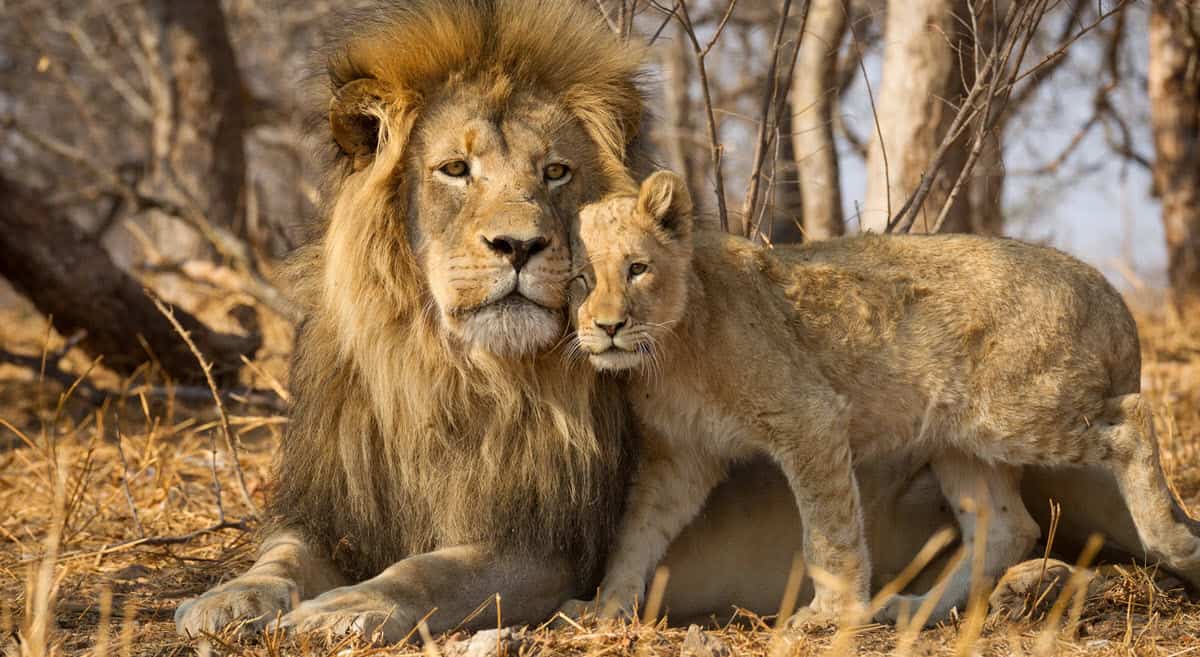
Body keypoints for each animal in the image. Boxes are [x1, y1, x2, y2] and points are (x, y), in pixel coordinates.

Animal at [562, 171, 1200, 627]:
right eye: (579, 280)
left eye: (637, 268)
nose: (609, 326)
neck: (667, 354)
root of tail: (1108, 292)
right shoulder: (680, 456)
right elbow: (636, 534)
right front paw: (605, 608)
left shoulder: (809, 417)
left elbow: (828, 528)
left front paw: (831, 615)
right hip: (961, 439)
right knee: (1006, 527)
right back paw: (914, 610)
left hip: (1015, 410)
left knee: (1133, 419)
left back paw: (1174, 539)